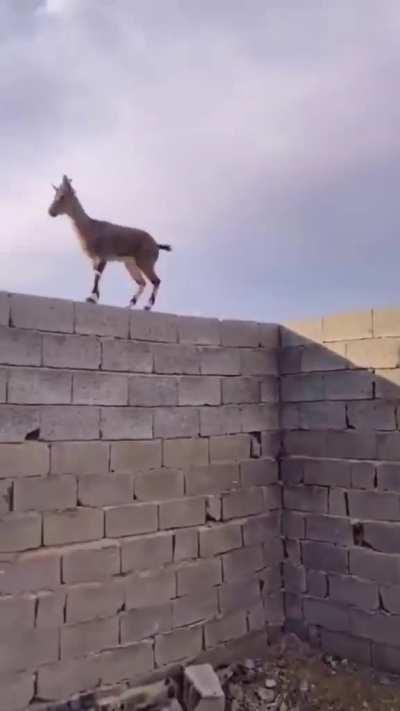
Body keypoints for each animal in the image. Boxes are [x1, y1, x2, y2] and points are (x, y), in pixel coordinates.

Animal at [48, 175, 171, 310]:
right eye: (55, 195)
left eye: (62, 196)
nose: (51, 211)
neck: (91, 227)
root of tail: (156, 245)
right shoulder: (95, 259)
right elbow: (96, 274)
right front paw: (94, 297)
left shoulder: (103, 256)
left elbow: (97, 276)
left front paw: (91, 298)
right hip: (130, 264)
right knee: (142, 283)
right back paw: (129, 304)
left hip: (145, 262)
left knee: (156, 281)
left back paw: (147, 306)